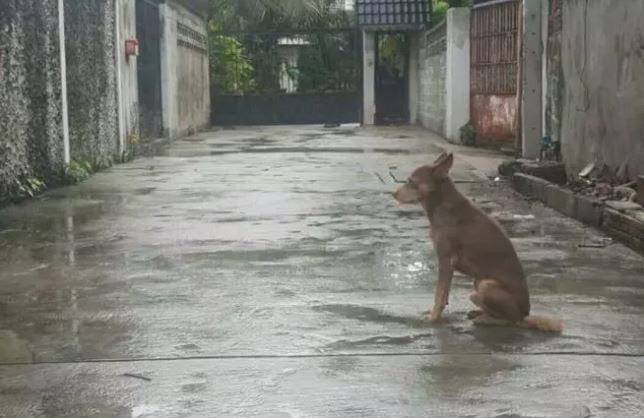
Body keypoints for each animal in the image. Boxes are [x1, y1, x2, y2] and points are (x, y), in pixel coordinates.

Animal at [390, 152, 560, 332]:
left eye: (411, 181)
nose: (393, 194)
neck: (442, 204)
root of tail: (525, 314)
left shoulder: (445, 260)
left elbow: (439, 294)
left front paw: (433, 318)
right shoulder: (449, 265)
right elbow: (444, 293)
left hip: (486, 285)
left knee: (510, 321)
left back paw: (484, 319)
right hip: (477, 282)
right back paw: (478, 313)